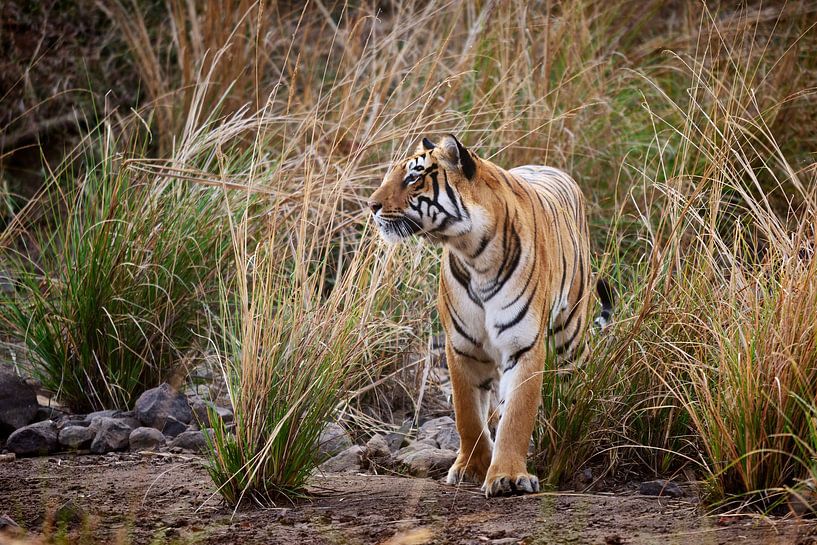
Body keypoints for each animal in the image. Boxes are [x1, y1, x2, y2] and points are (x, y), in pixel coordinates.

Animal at [368, 134, 613, 497]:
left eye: (413, 177)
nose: (371, 205)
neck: (473, 253)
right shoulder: (462, 347)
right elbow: (467, 415)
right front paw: (471, 468)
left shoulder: (523, 345)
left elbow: (517, 415)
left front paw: (508, 476)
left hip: (572, 331)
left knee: (572, 381)